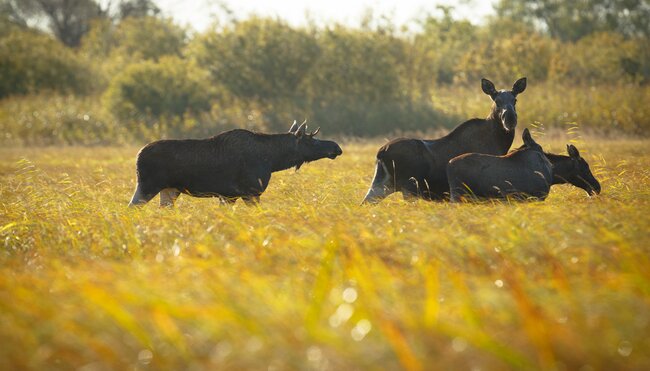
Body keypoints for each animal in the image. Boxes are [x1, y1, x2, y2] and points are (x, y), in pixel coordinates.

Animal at [125, 122, 340, 209]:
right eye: (311, 140)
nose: (336, 147)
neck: (272, 160)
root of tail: (137, 156)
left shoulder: (228, 196)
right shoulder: (249, 192)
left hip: (169, 190)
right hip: (148, 185)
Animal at [362, 76, 524, 203]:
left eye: (515, 100)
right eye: (497, 101)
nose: (510, 119)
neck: (499, 142)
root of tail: (381, 152)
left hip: (383, 184)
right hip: (408, 187)